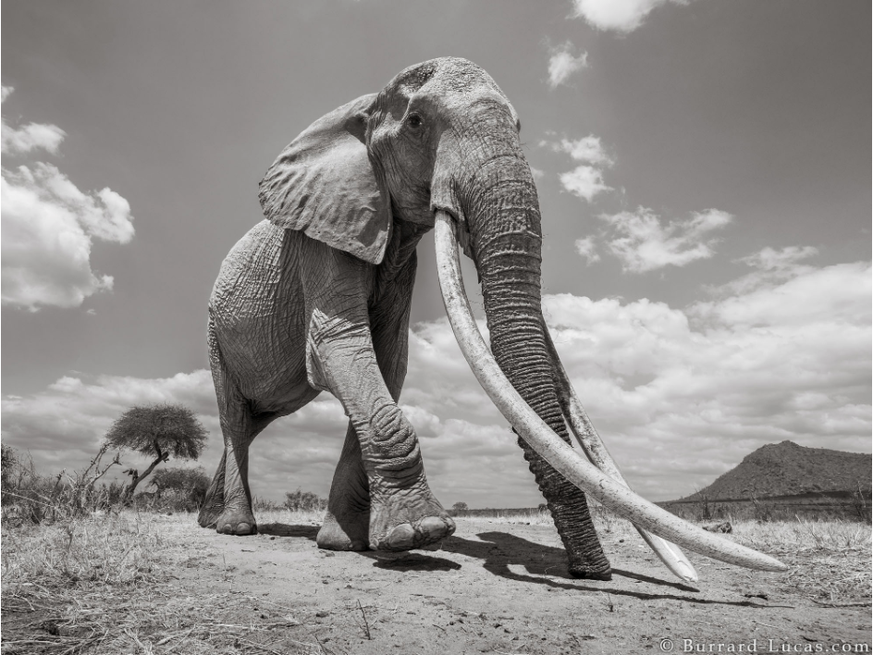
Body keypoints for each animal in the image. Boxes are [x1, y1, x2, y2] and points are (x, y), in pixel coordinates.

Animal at [201, 55, 788, 580]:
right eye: (416, 123)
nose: (589, 573)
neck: (360, 109)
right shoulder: (322, 237)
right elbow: (339, 348)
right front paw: (421, 535)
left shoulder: (399, 258)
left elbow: (387, 363)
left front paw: (347, 544)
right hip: (212, 332)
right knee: (235, 418)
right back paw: (235, 528)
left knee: (253, 422)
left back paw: (212, 520)